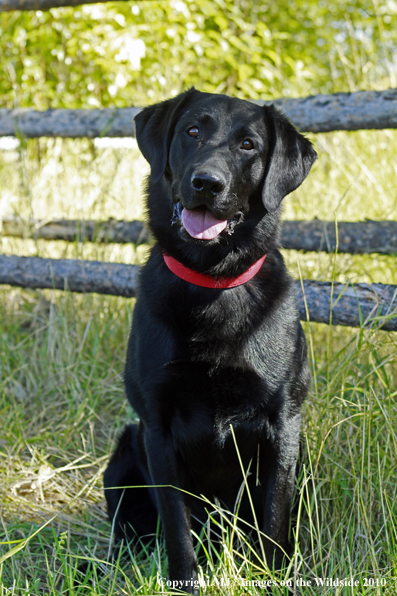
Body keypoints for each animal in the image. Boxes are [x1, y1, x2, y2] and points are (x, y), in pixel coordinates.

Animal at [103, 87, 318, 592]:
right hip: (124, 452)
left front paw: (272, 577)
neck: (213, 282)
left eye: (248, 145)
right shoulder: (157, 427)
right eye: (192, 131)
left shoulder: (283, 425)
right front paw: (184, 580)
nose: (207, 183)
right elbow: (177, 530)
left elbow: (273, 523)